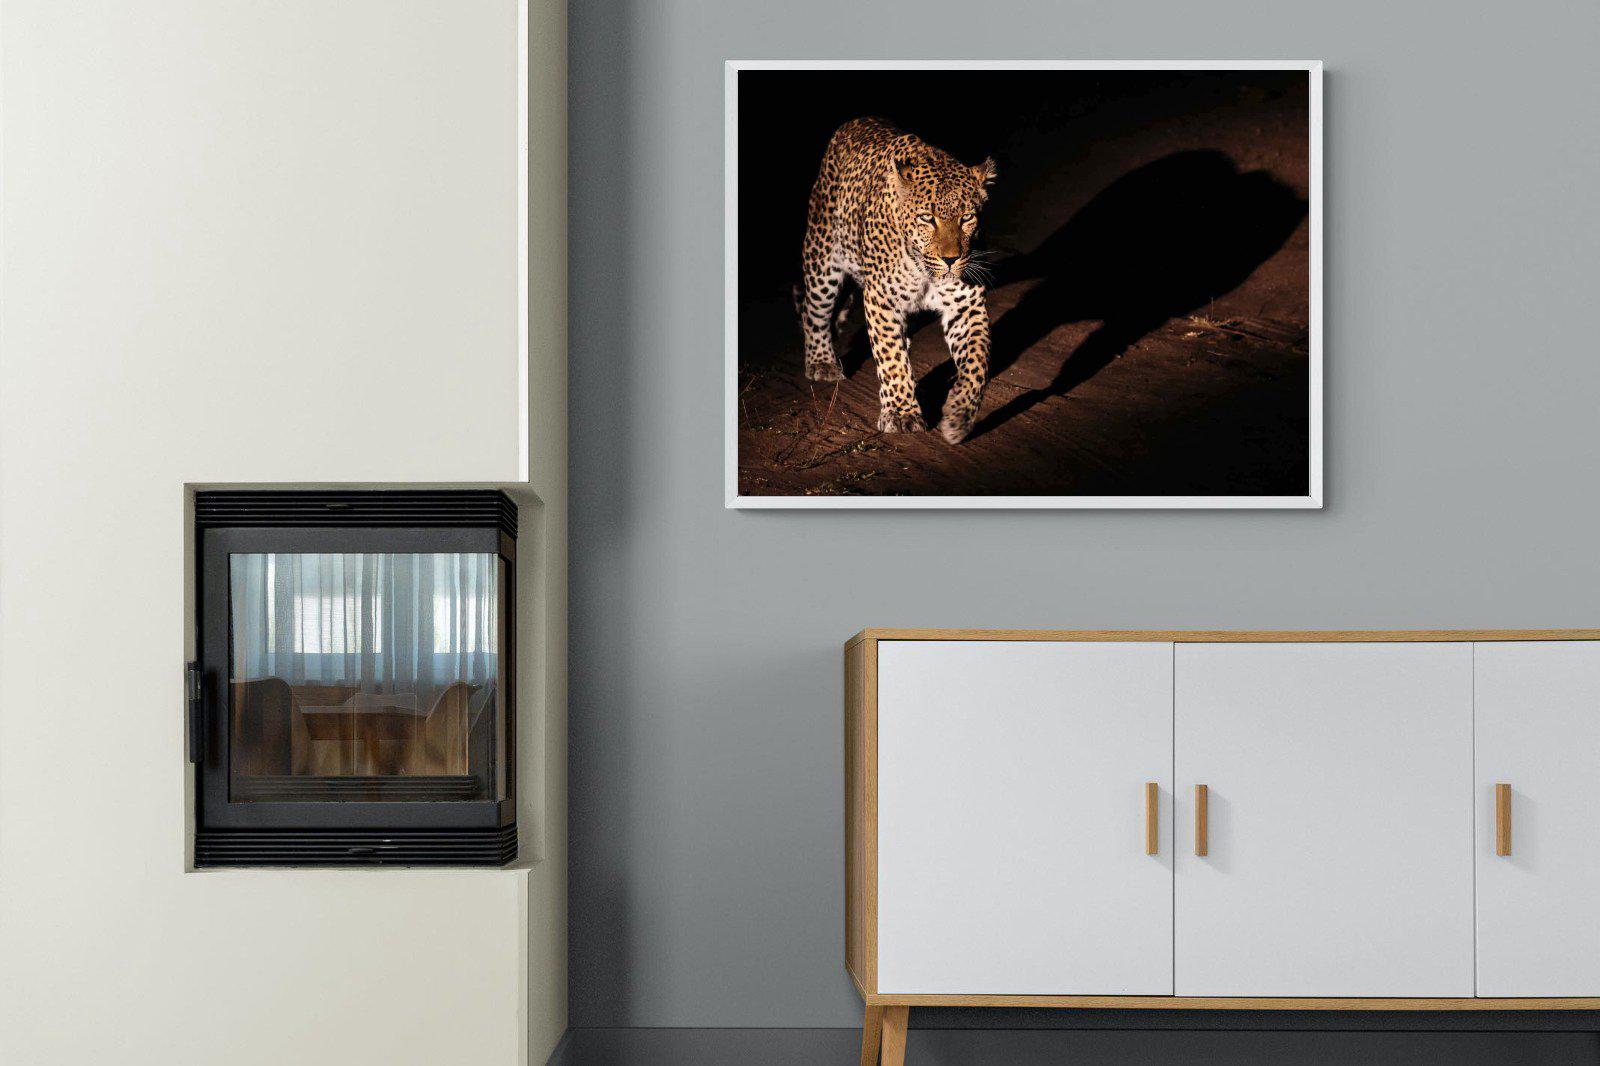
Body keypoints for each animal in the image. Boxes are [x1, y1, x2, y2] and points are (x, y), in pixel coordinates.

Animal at [798, 117, 997, 444]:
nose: (951, 259)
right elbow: (890, 358)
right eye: (927, 218)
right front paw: (902, 414)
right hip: (822, 260)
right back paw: (821, 362)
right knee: (813, 312)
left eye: (967, 218)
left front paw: (959, 415)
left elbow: (976, 363)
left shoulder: (966, 306)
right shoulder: (882, 299)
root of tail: (856, 121)